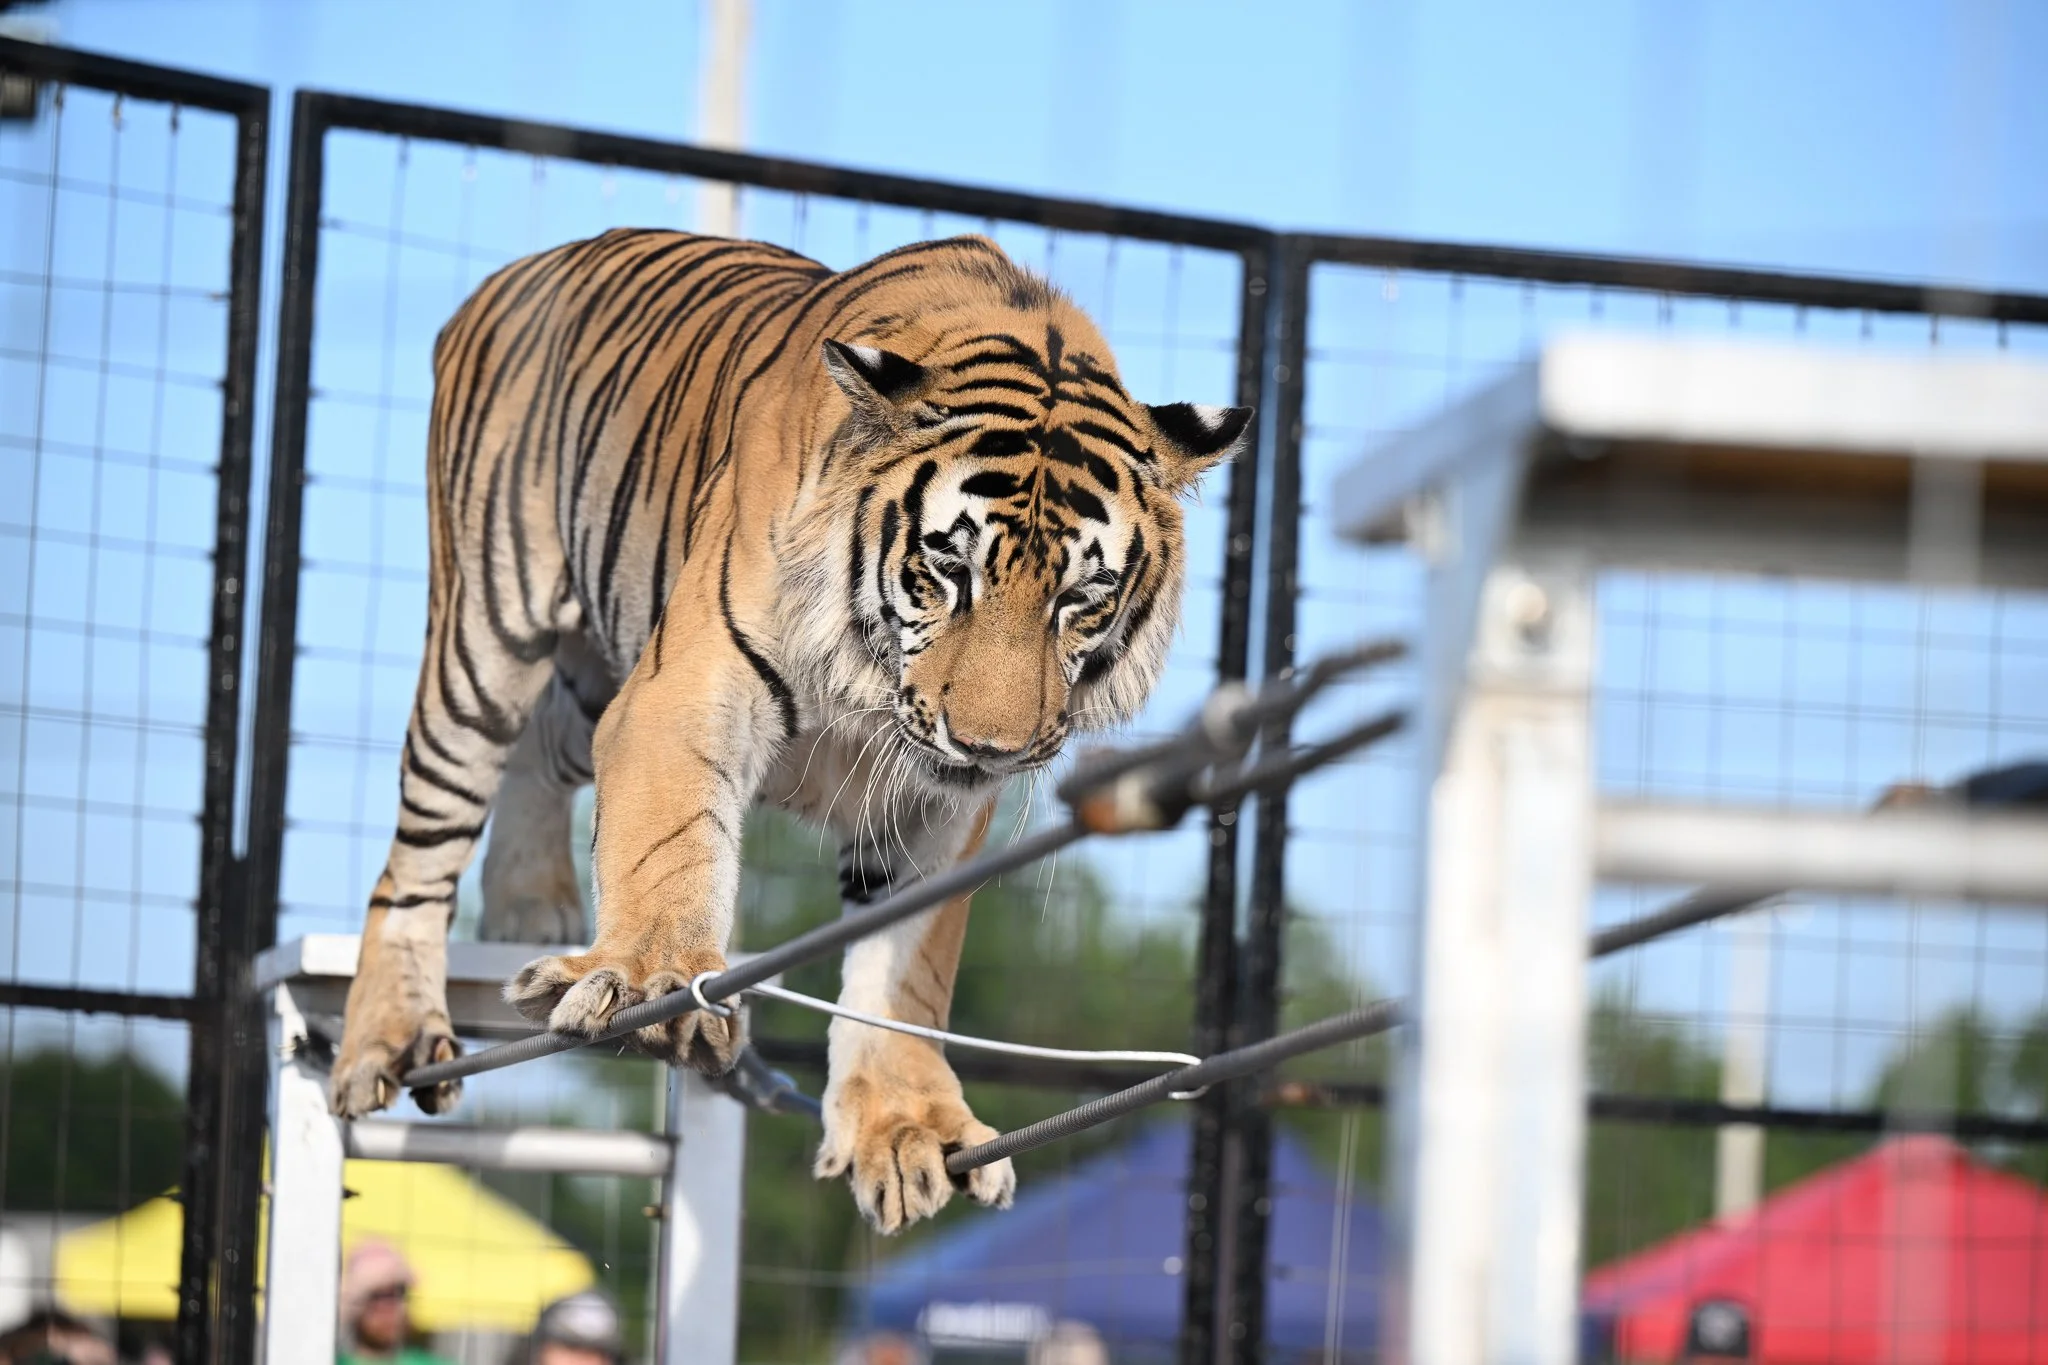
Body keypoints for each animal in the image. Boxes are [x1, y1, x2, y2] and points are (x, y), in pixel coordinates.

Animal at [329, 229, 1249, 1233]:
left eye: (1081, 597)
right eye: (946, 568)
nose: (990, 749)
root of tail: (522, 267)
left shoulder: (933, 806)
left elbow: (906, 971)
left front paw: (903, 1122)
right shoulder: (684, 689)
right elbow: (671, 847)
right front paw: (652, 984)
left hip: (591, 671)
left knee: (540, 757)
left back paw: (536, 905)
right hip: (485, 638)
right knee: (419, 852)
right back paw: (389, 1037)